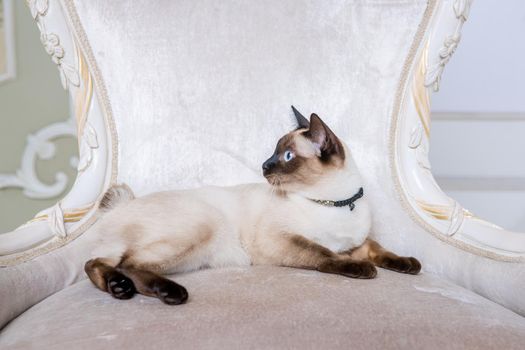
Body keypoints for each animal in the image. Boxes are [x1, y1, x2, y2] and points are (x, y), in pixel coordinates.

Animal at [86, 106, 422, 304]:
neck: (337, 203)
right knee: (125, 263)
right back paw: (167, 292)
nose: (263, 165)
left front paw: (408, 264)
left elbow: (381, 250)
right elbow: (324, 254)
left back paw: (119, 288)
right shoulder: (283, 240)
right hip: (202, 225)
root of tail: (121, 206)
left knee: (103, 262)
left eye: (286, 156)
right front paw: (361, 269)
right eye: (274, 153)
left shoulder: (357, 241)